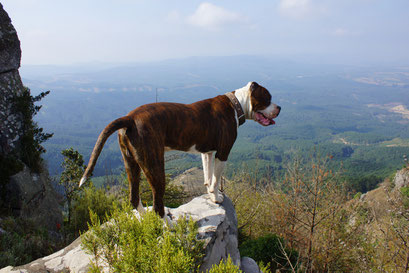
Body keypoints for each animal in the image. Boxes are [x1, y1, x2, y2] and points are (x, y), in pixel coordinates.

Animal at [78, 81, 278, 217]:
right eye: (268, 98)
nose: (280, 108)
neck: (236, 105)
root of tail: (130, 119)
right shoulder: (222, 153)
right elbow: (215, 179)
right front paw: (216, 198)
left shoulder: (207, 153)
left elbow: (207, 176)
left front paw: (209, 193)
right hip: (155, 167)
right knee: (158, 205)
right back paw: (169, 228)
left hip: (131, 164)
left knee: (134, 198)